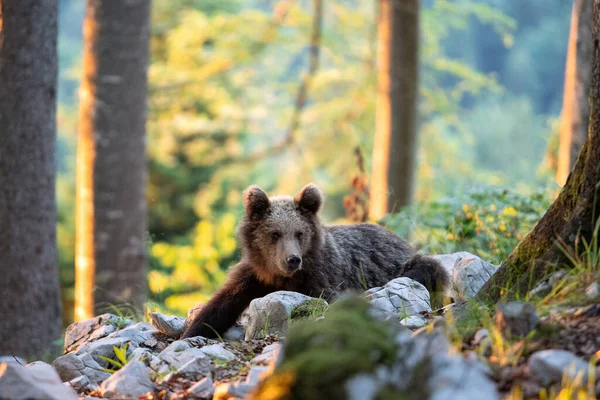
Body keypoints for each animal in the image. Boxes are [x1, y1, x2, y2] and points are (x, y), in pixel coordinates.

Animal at [180, 184, 448, 338]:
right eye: (274, 233)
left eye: (299, 233)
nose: (292, 259)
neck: (280, 277)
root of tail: (395, 236)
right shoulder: (253, 276)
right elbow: (221, 304)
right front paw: (194, 330)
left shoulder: (322, 276)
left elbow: (326, 299)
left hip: (404, 263)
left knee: (427, 268)